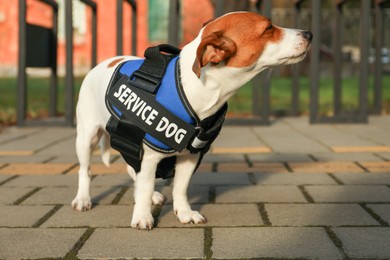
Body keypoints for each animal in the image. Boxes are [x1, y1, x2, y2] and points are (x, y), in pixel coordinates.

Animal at [71, 11, 312, 230]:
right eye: (268, 28)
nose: (309, 33)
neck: (198, 87)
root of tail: (105, 63)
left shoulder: (189, 157)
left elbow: (180, 187)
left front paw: (184, 212)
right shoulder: (149, 156)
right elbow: (145, 186)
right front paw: (142, 216)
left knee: (134, 171)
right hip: (86, 138)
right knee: (86, 171)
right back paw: (83, 198)